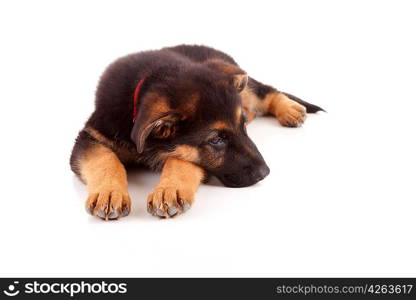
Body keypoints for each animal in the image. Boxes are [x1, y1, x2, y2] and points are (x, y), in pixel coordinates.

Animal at [70, 44, 324, 219]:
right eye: (217, 140)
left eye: (241, 126)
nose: (265, 173)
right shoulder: (90, 136)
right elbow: (104, 160)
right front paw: (108, 194)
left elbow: (181, 161)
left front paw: (170, 189)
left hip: (246, 88)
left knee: (266, 91)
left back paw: (289, 110)